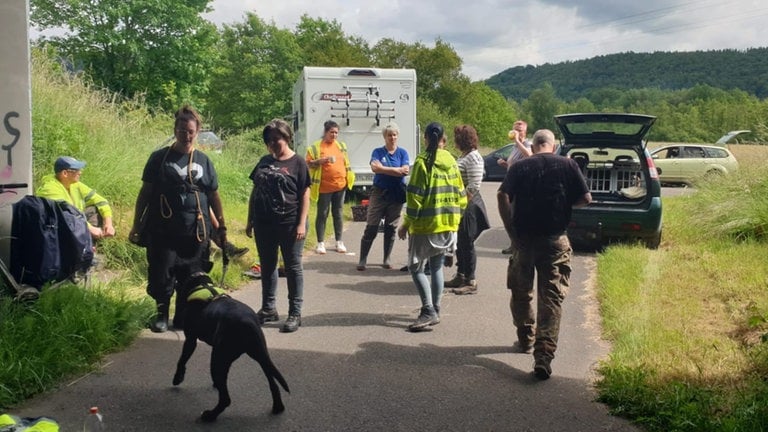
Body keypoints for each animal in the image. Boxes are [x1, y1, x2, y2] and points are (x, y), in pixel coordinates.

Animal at [171, 270, 288, 422]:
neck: (201, 283)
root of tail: (247, 322)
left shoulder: (190, 340)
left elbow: (182, 360)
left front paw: (177, 378)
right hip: (261, 356)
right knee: (273, 383)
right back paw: (277, 407)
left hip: (218, 359)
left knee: (225, 399)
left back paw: (210, 415)